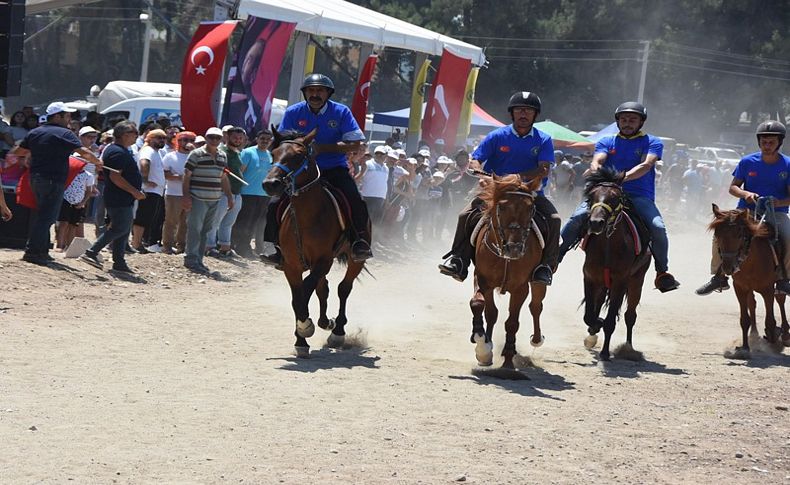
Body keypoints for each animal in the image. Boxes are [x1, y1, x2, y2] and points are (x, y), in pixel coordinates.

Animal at [262, 127, 368, 356]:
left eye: (297, 156)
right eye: (273, 154)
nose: (270, 184)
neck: (305, 218)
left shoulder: (323, 260)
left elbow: (306, 290)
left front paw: (305, 327)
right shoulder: (291, 265)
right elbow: (297, 298)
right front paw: (301, 339)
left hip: (355, 259)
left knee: (343, 288)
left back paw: (337, 332)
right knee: (324, 288)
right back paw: (324, 322)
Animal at [474, 176, 548, 368]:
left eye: (531, 208)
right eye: (502, 207)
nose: (514, 249)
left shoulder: (520, 289)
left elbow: (512, 323)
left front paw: (508, 358)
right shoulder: (482, 279)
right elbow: (481, 306)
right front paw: (483, 348)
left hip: (538, 282)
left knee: (536, 306)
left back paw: (536, 339)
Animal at [580, 166, 656, 360]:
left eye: (615, 198)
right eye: (592, 195)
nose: (595, 223)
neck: (608, 246)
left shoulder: (620, 283)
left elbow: (610, 322)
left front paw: (605, 352)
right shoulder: (589, 278)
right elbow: (589, 316)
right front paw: (594, 327)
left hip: (636, 280)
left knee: (630, 316)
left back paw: (628, 347)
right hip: (602, 284)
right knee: (599, 304)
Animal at [712, 202, 790, 358]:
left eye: (739, 234)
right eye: (717, 234)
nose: (728, 267)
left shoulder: (768, 288)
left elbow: (770, 321)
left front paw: (774, 336)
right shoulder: (740, 287)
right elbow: (744, 319)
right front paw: (744, 348)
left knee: (780, 299)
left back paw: (784, 335)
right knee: (752, 304)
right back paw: (754, 336)